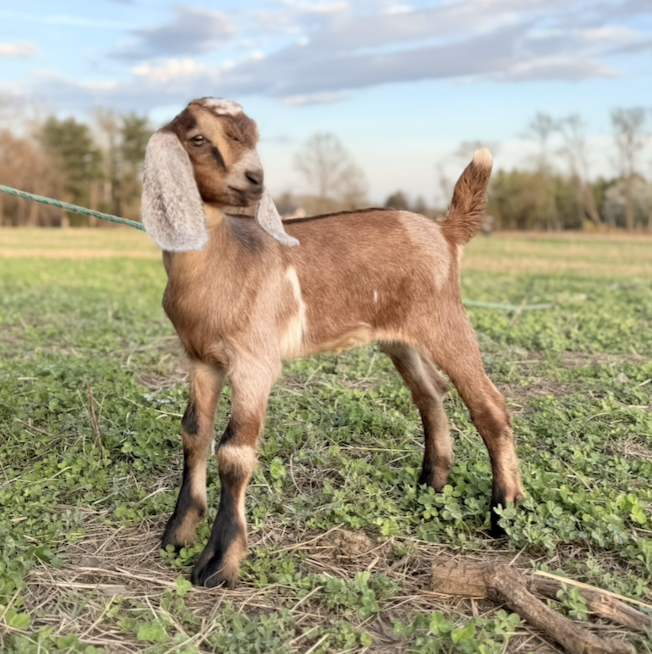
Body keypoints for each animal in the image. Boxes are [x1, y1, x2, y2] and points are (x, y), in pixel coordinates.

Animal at [141, 97, 523, 589]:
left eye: (254, 135)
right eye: (198, 138)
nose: (254, 180)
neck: (224, 263)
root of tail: (444, 230)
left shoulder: (255, 361)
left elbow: (234, 452)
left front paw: (219, 562)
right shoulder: (200, 359)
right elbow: (194, 433)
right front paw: (178, 533)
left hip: (445, 319)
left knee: (487, 404)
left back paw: (504, 512)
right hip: (400, 337)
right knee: (430, 393)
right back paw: (432, 484)